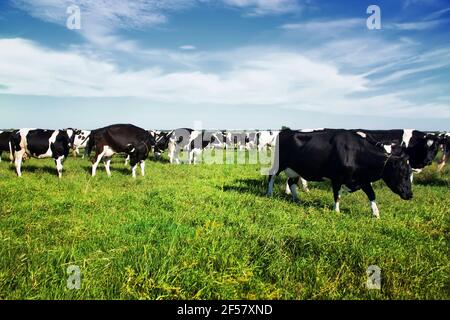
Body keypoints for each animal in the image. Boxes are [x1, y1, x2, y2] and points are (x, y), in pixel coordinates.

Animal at [268, 129, 414, 219]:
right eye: (402, 173)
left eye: (410, 173)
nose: (410, 194)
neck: (357, 153)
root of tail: (285, 132)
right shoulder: (337, 178)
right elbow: (337, 195)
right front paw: (337, 211)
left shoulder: (363, 179)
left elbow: (372, 194)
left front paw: (376, 214)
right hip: (279, 163)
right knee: (271, 176)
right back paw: (269, 194)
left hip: (295, 168)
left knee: (291, 182)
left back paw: (297, 198)